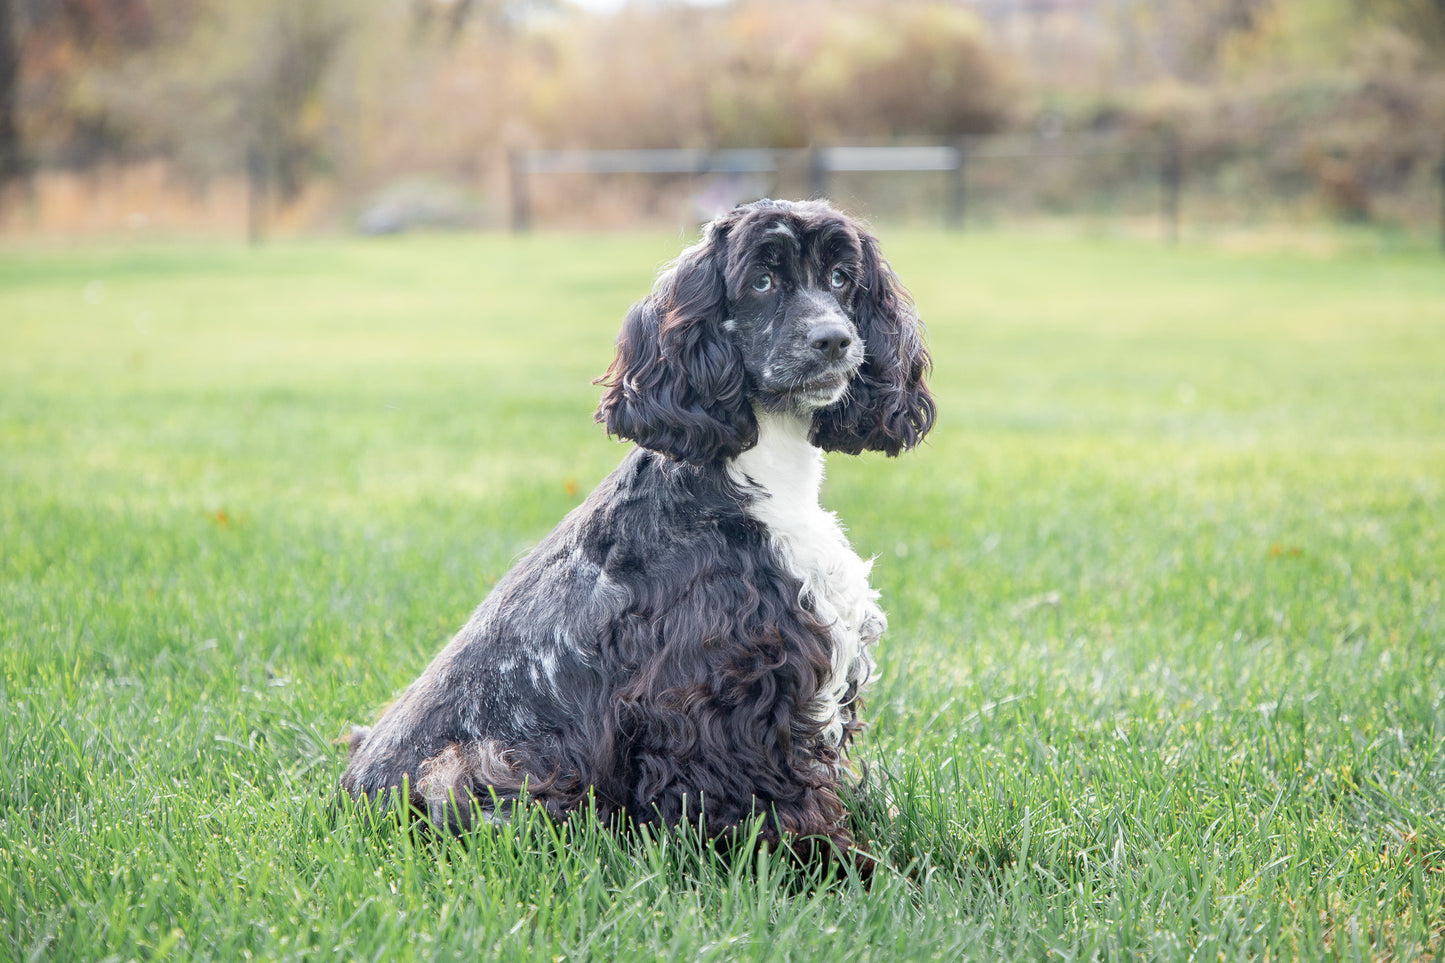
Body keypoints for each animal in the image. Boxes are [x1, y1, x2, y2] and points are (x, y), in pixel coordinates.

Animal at [341, 196, 936, 856]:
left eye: (840, 279)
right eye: (761, 282)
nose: (834, 339)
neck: (764, 478)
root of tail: (349, 797)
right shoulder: (727, 696)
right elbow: (779, 807)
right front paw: (834, 867)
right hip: (469, 773)